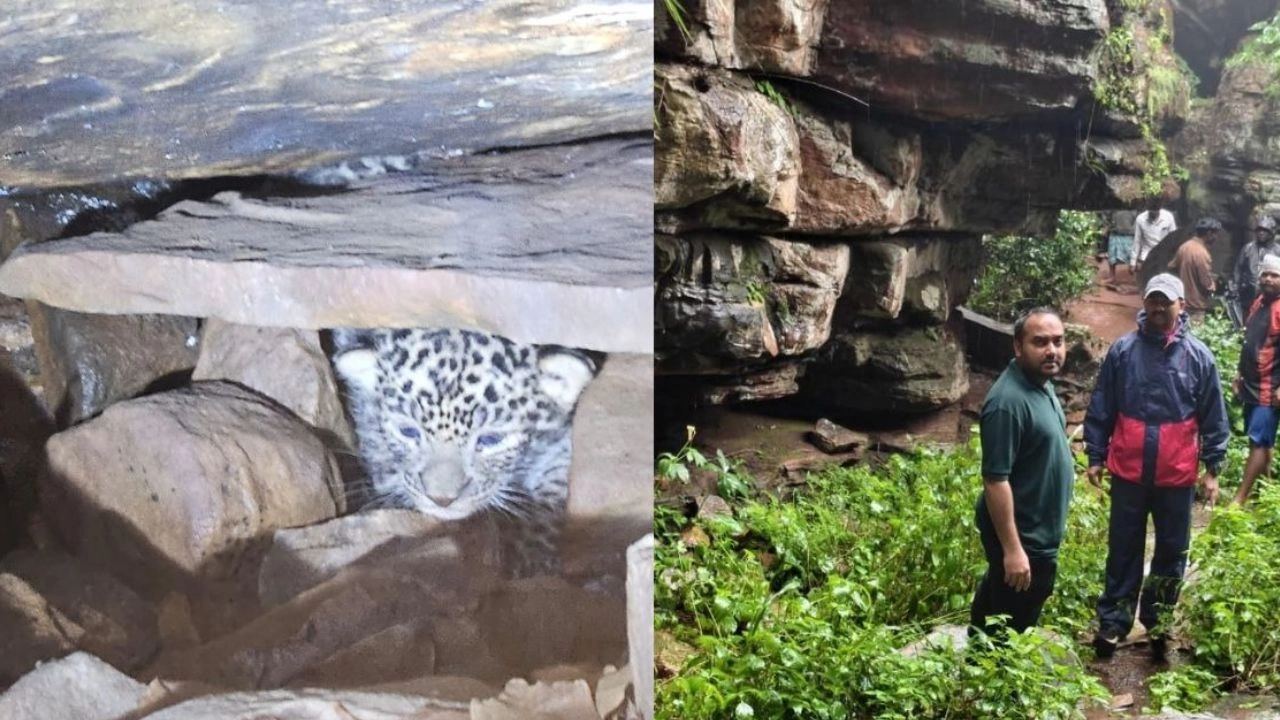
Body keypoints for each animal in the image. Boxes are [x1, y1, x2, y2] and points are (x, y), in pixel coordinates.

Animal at [329, 327, 598, 578]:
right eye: (408, 431)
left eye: (491, 440)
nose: (441, 500)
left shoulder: (559, 443)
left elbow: (550, 491)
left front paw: (533, 556)